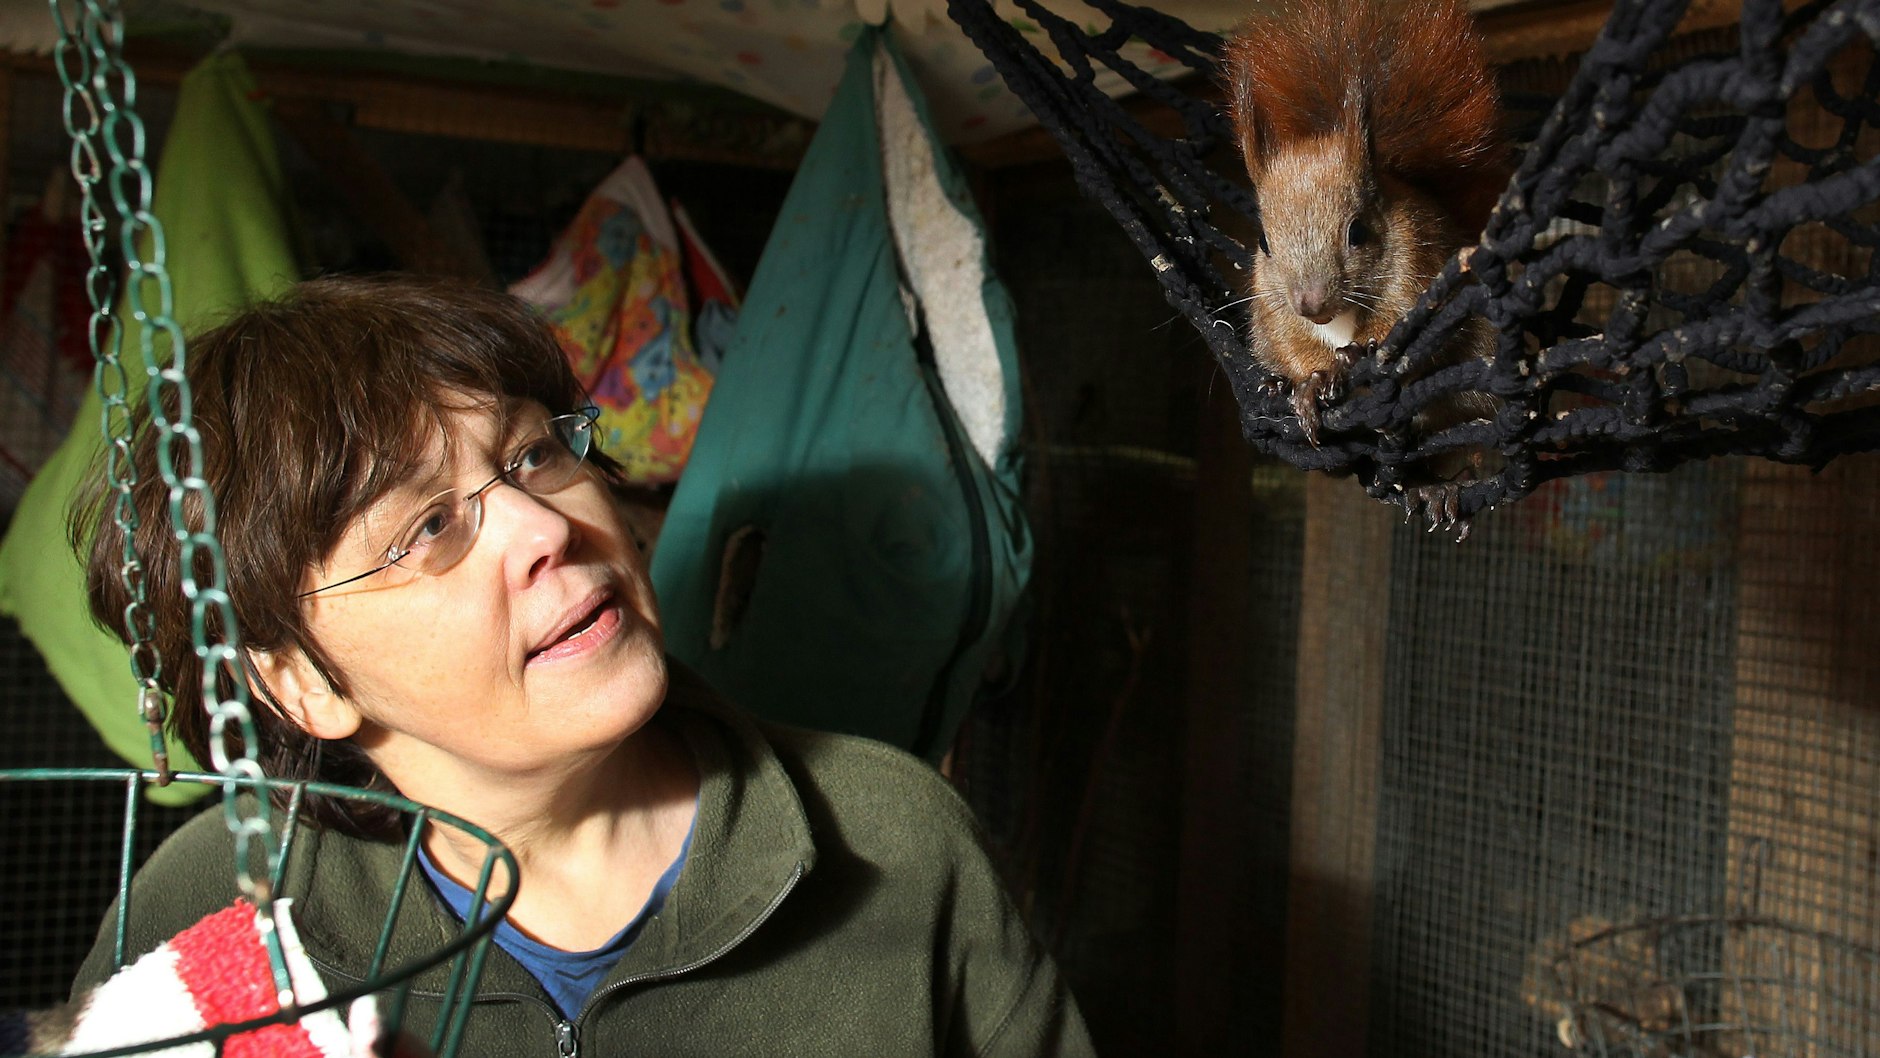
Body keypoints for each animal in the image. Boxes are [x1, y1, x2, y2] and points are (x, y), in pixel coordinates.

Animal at [1222, 0, 1510, 452]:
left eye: (1357, 232)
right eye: (1264, 242)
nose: (1310, 304)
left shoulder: (1417, 259)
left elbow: (1400, 315)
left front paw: (1361, 351)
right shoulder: (1272, 306)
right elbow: (1291, 342)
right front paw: (1309, 382)